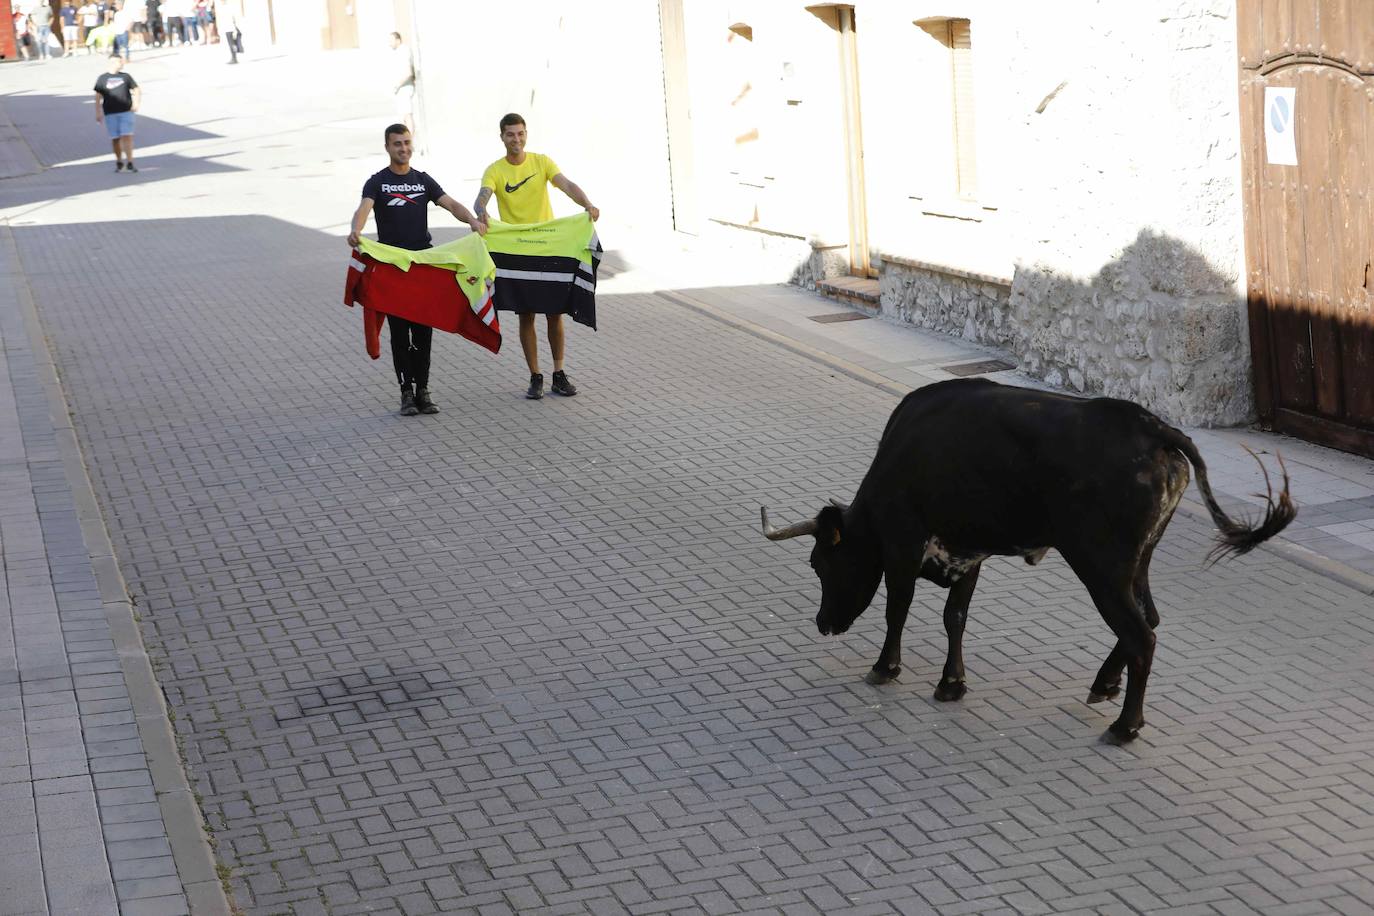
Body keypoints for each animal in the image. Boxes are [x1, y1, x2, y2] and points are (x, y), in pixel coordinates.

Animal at [763, 379, 1297, 747]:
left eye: (820, 563)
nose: (822, 623)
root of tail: (1152, 427)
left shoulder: (903, 544)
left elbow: (899, 609)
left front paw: (885, 668)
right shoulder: (968, 551)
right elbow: (955, 617)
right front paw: (951, 684)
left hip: (1101, 565)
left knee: (1141, 635)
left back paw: (1124, 726)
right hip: (1139, 560)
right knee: (1149, 618)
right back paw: (1104, 685)